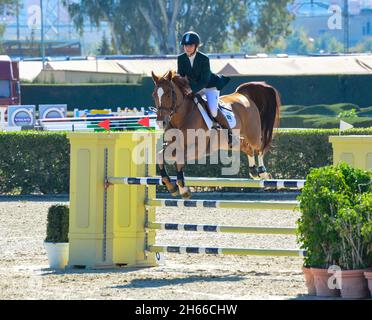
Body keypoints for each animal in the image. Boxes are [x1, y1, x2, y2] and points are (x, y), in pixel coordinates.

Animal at [150, 71, 280, 199]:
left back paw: (262, 172)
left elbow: (179, 158)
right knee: (246, 147)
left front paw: (183, 189)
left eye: (168, 94)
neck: (183, 117)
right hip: (228, 143)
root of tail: (242, 94)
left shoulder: (198, 149)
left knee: (259, 147)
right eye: (154, 95)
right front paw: (171, 186)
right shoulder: (173, 146)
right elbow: (159, 156)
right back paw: (253, 171)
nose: (160, 122)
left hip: (252, 134)